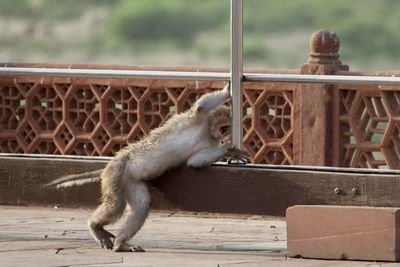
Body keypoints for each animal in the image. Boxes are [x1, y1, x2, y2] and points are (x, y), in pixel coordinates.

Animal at [45, 85, 248, 253]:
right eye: (225, 125)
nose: (224, 137)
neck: (206, 133)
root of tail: (113, 163)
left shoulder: (208, 143)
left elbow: (195, 162)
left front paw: (229, 150)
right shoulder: (196, 119)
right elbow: (201, 107)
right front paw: (227, 90)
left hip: (129, 181)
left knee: (141, 205)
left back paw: (121, 243)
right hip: (118, 170)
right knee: (116, 205)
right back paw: (95, 226)